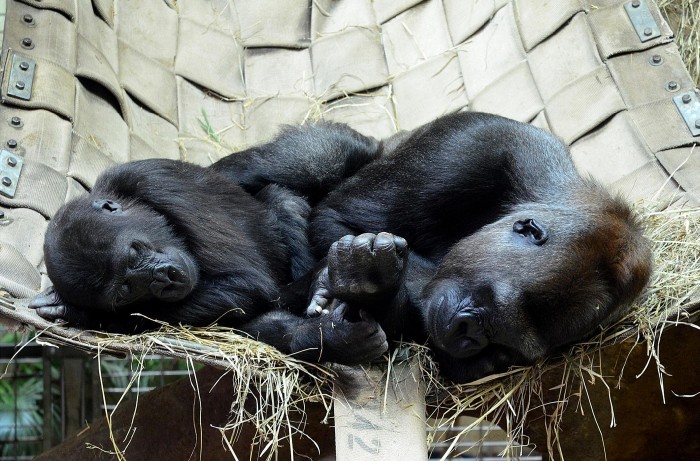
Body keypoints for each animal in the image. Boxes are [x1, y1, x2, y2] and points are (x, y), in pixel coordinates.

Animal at [28, 121, 388, 362]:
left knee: (297, 174)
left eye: (135, 251)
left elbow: (246, 284)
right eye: (126, 289)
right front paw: (81, 313)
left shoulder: (154, 179)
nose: (165, 278)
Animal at [306, 112, 652, 384]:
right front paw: (370, 283)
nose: (466, 338)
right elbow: (335, 217)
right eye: (494, 300)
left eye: (506, 343)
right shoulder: (472, 144)